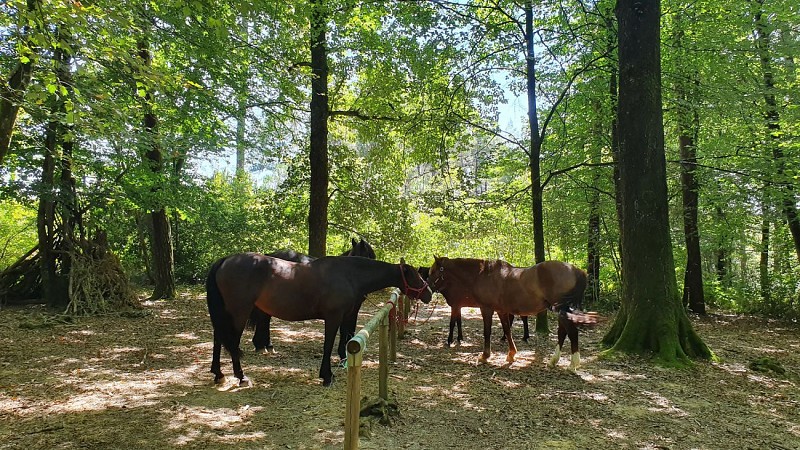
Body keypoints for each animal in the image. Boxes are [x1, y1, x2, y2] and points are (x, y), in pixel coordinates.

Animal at [206, 253, 432, 386]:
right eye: (416, 276)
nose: (429, 293)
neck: (349, 275)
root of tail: (225, 261)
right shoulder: (333, 317)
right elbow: (328, 345)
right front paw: (327, 376)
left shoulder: (345, 316)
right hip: (238, 312)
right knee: (232, 342)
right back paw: (241, 376)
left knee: (218, 339)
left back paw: (218, 374)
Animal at [428, 256, 596, 370]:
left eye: (434, 271)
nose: (427, 290)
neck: (483, 275)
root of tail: (578, 271)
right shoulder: (501, 311)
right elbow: (507, 331)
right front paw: (511, 354)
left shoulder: (486, 309)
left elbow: (487, 332)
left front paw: (484, 356)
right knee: (563, 333)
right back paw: (553, 361)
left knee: (572, 333)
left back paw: (573, 364)